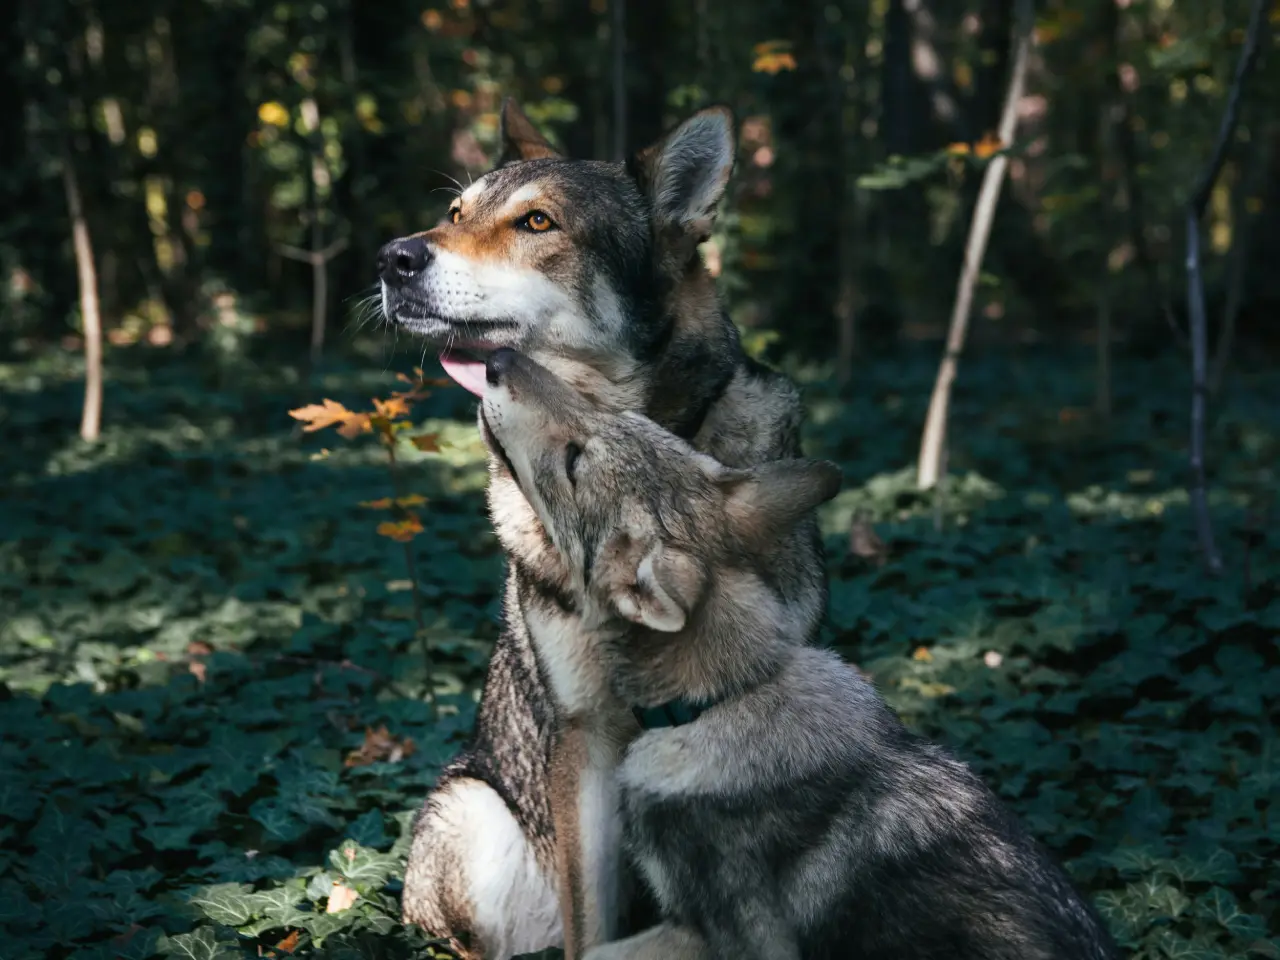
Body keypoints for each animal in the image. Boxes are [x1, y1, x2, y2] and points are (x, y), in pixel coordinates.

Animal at [481, 350, 1121, 960]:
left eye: (574, 460)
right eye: (612, 417)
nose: (498, 360)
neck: (729, 696)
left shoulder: (727, 937)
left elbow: (596, 951)